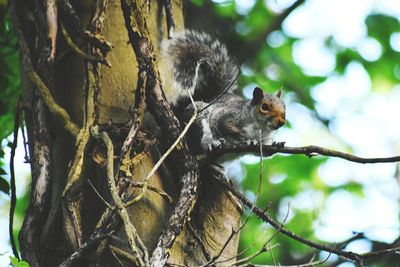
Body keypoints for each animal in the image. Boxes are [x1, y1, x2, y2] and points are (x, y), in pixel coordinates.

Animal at [158, 30, 286, 154]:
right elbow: (225, 127)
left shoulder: (264, 140)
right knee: (198, 145)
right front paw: (247, 140)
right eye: (264, 107)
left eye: (284, 107)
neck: (260, 128)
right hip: (197, 117)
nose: (281, 122)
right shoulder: (227, 116)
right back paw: (211, 144)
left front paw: (277, 144)